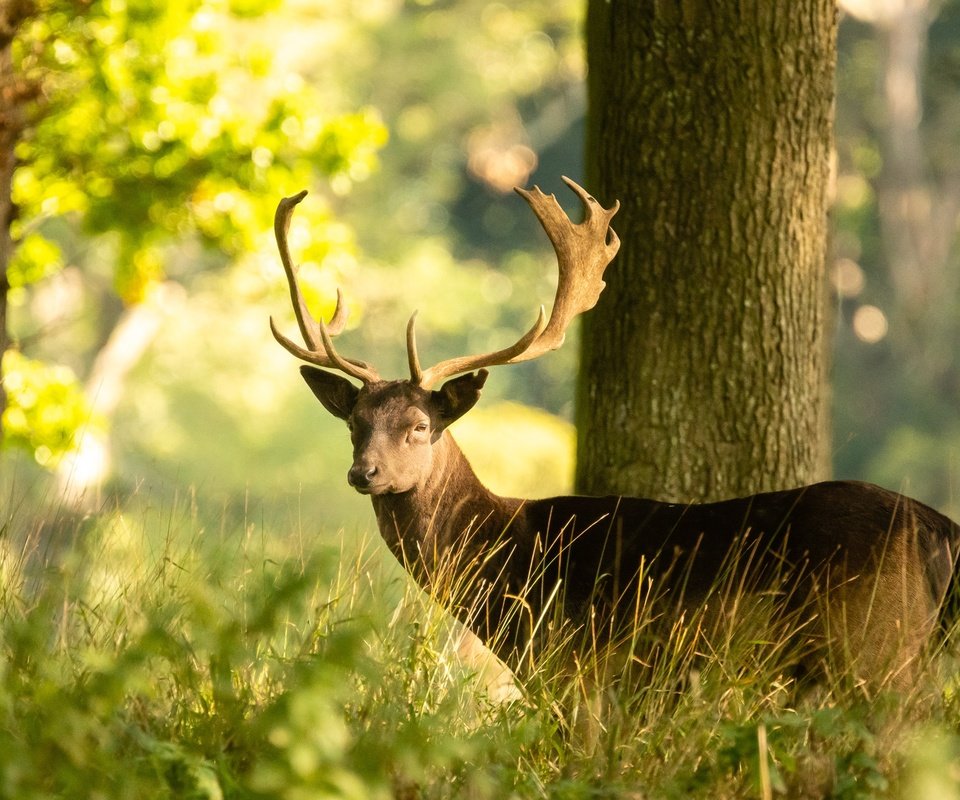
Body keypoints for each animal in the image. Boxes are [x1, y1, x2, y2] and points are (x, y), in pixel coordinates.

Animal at [268, 178, 960, 696]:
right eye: (354, 423)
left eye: (419, 427)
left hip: (877, 646)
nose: (364, 473)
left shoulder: (581, 669)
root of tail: (939, 530)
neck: (513, 570)